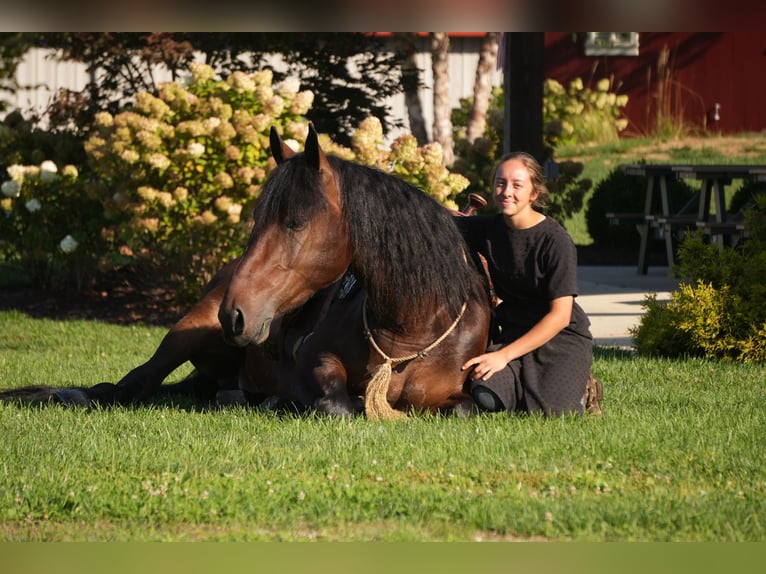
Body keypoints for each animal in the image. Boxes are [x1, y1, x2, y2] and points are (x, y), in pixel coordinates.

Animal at [218, 125, 492, 419]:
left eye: (295, 222)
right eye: (257, 218)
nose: (233, 314)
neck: (415, 327)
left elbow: (465, 408)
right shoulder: (315, 359)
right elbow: (337, 403)